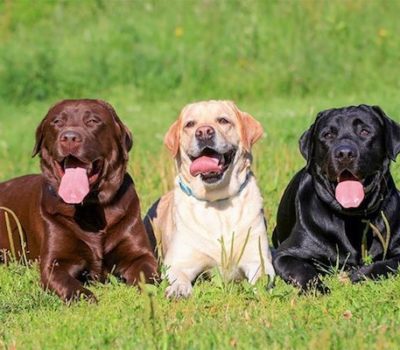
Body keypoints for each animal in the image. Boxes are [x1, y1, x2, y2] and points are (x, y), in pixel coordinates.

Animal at [274, 105, 400, 292]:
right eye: (328, 135)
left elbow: (385, 264)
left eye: (364, 131)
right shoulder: (285, 254)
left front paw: (359, 274)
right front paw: (319, 290)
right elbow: (303, 269)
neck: (353, 218)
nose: (345, 153)